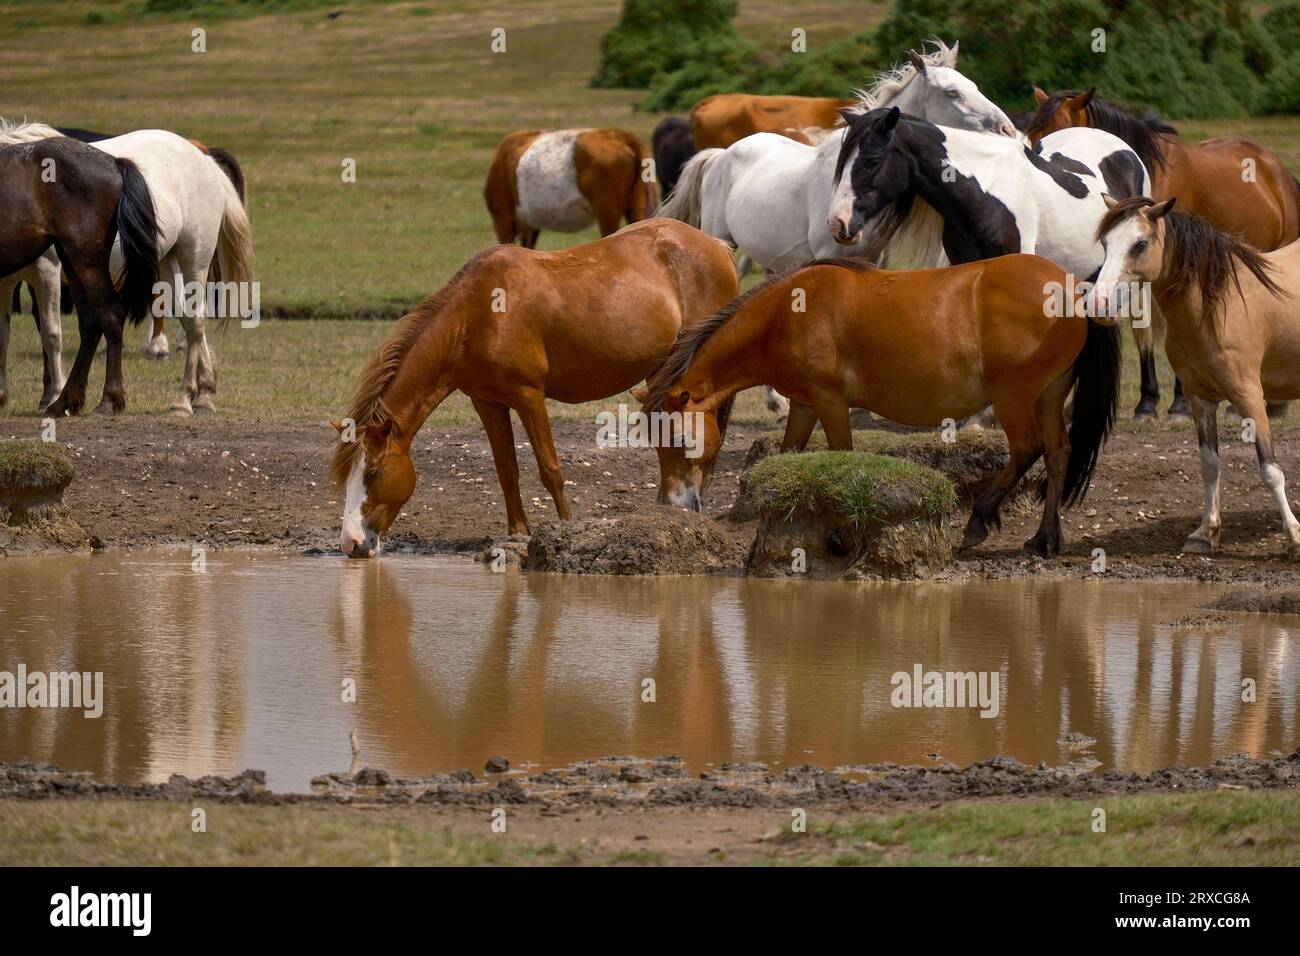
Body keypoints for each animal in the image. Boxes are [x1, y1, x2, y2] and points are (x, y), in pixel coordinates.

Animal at [330, 219, 743, 556]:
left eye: (372, 473)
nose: (351, 543)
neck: (478, 316)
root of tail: (715, 245)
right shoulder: (487, 402)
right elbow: (506, 470)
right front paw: (518, 533)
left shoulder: (529, 396)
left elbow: (550, 468)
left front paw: (565, 529)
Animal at [639, 256, 1118, 561]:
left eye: (679, 439)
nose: (672, 505)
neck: (785, 314)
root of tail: (1072, 289)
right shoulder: (804, 404)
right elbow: (790, 454)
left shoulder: (830, 402)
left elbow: (843, 457)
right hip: (1049, 394)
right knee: (1058, 453)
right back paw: (1044, 539)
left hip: (1013, 396)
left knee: (1026, 449)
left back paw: (978, 521)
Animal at [1029, 87, 1294, 418]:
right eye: (1033, 138)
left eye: (1062, 127)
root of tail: (1278, 172)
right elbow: (1142, 327)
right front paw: (1147, 400)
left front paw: (1176, 402)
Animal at [1092, 197, 1294, 556]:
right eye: (1105, 242)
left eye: (1140, 243)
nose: (1099, 304)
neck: (1215, 307)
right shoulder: (1200, 401)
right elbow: (1210, 465)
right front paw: (1205, 532)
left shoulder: (1250, 399)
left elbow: (1270, 470)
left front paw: (1295, 536)